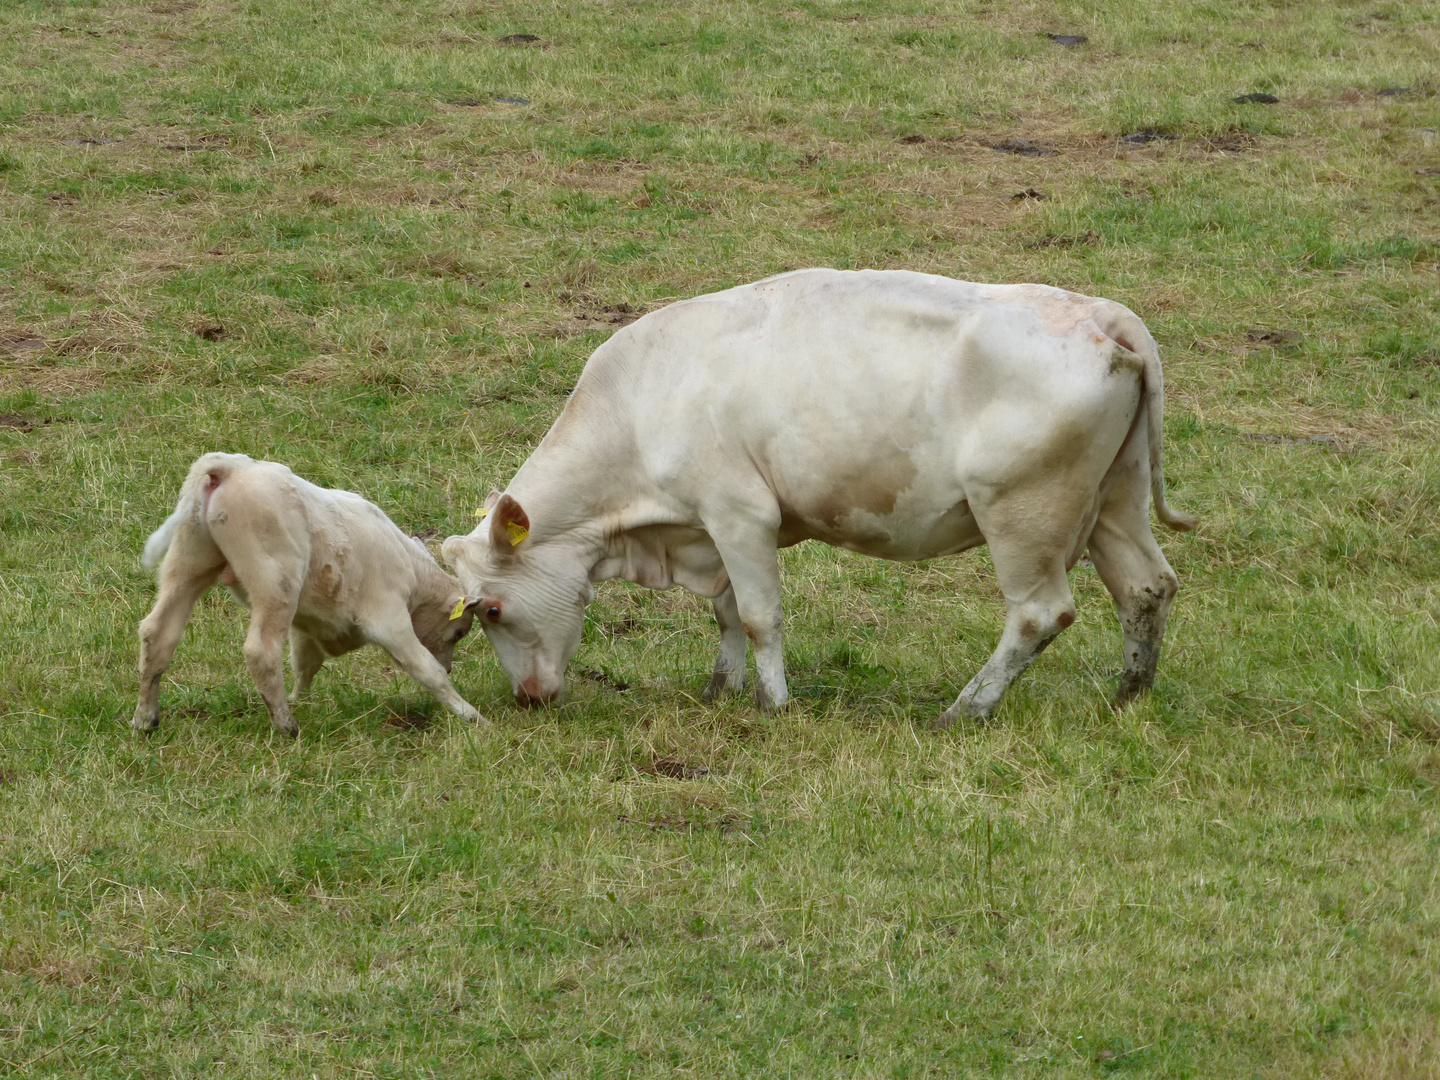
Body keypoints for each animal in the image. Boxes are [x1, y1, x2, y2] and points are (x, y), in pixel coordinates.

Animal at [137, 452, 492, 743]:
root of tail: (230, 467)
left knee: (158, 633)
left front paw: (302, 700)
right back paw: (286, 726)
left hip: (188, 565)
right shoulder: (388, 619)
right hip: (274, 583)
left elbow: (305, 663)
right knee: (260, 651)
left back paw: (146, 719)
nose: (450, 667)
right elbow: (425, 669)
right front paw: (471, 715)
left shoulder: (306, 625)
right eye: (460, 631)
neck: (410, 568)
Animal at [443, 269, 1198, 728]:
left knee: (1040, 614)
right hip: (1117, 499)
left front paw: (773, 704)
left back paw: (965, 709)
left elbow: (757, 617)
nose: (528, 700)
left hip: (1023, 514)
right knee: (1146, 586)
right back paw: (1130, 694)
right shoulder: (715, 530)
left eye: (493, 609)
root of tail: (1100, 312)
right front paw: (721, 690)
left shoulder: (739, 513)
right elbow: (726, 613)